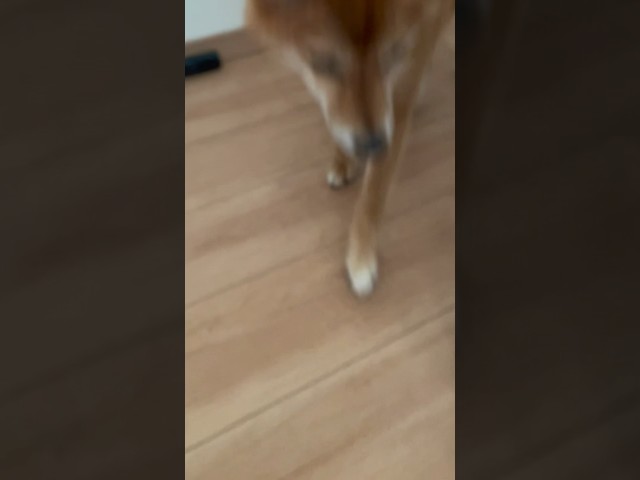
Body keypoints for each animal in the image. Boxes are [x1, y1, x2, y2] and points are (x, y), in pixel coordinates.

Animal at [246, 0, 454, 297]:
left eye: (394, 53)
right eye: (324, 62)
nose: (374, 145)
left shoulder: (400, 97)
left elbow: (373, 195)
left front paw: (361, 257)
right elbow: (336, 121)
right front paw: (342, 159)